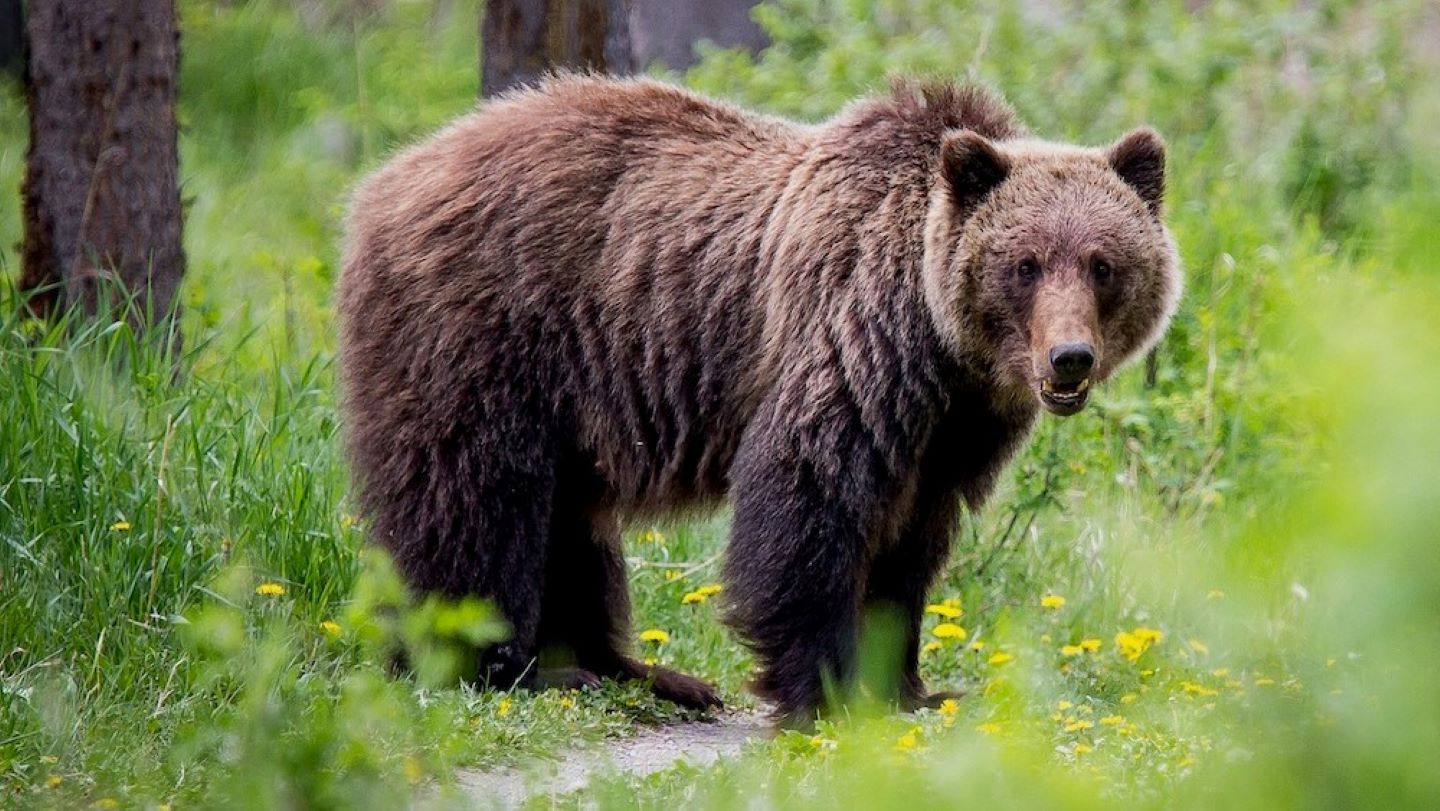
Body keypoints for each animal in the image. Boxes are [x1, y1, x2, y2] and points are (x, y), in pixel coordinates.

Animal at [337, 74, 1181, 725]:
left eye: (1103, 263)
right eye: (1025, 263)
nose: (1068, 358)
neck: (941, 344)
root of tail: (387, 178)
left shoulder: (950, 428)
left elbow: (910, 547)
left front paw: (914, 685)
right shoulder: (849, 342)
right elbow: (808, 498)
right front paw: (827, 691)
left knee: (573, 523)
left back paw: (645, 673)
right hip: (487, 330)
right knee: (476, 497)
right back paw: (501, 665)